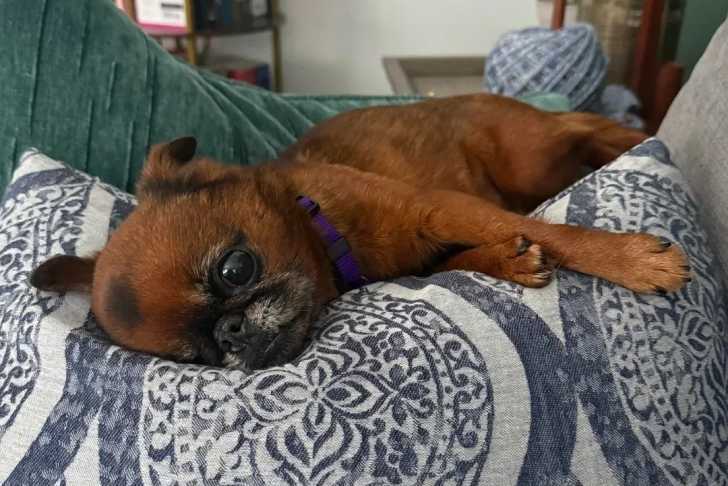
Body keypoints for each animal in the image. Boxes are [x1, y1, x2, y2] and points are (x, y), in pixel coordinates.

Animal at [30, 94, 690, 371]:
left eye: (235, 268)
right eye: (198, 356)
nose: (232, 333)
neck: (324, 228)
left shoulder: (444, 208)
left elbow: (552, 232)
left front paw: (635, 261)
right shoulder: (435, 246)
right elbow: (477, 252)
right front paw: (510, 258)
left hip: (530, 161)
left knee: (590, 130)